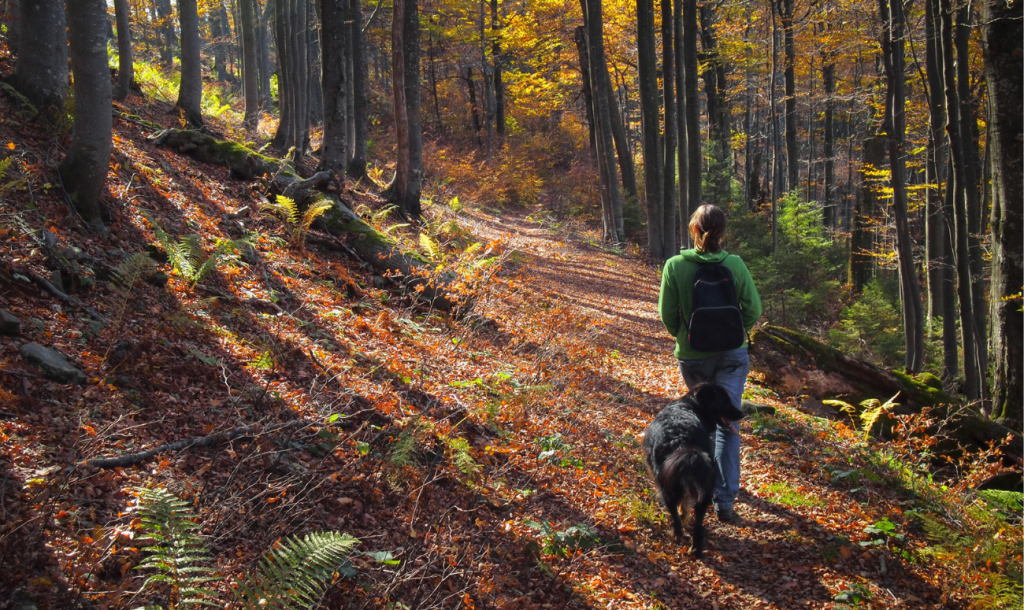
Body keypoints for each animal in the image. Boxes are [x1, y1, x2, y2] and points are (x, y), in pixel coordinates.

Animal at [638, 386, 745, 556]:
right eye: (726, 401)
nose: (742, 414)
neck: (690, 405)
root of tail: (681, 440)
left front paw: (682, 515)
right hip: (704, 485)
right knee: (699, 523)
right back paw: (696, 548)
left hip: (666, 484)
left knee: (674, 511)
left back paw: (678, 535)